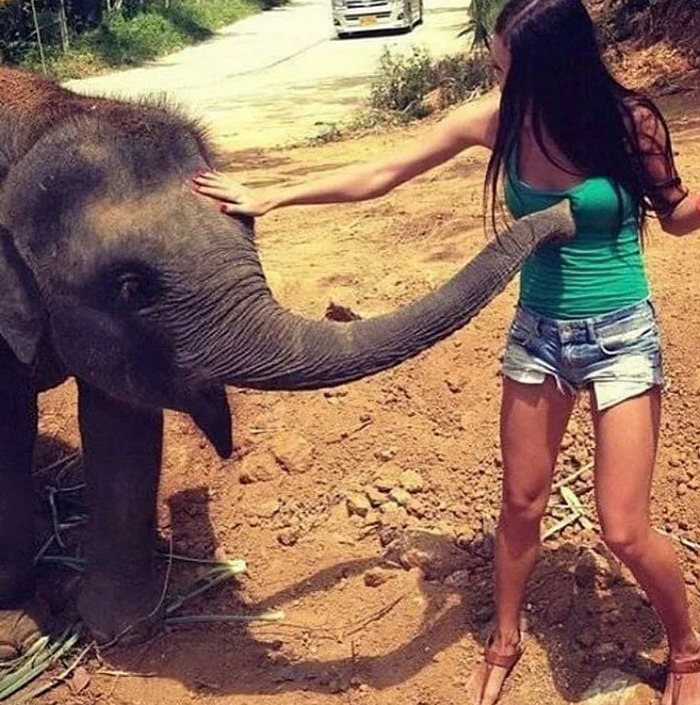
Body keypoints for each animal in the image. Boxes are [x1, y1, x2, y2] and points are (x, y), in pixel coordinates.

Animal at [0, 66, 575, 652]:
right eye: (129, 285)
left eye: (249, 227)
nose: (567, 212)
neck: (46, 118)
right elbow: (12, 433)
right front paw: (15, 637)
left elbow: (121, 425)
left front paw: (122, 632)